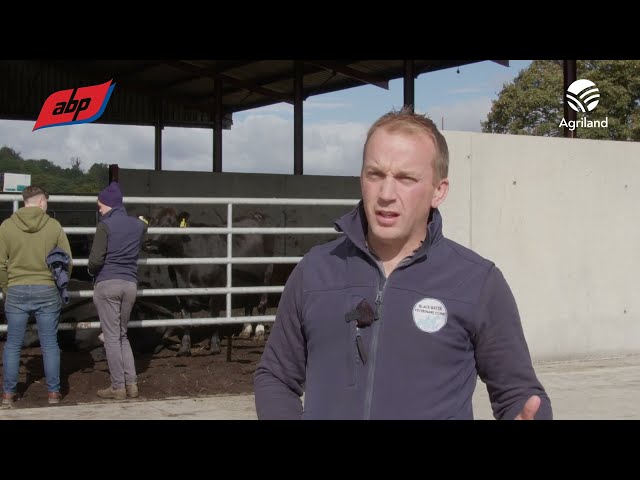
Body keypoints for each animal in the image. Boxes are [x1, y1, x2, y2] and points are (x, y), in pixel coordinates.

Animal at [141, 207, 274, 356]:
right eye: (150, 223)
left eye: (168, 224)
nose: (147, 243)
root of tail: (256, 215)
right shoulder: (180, 292)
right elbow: (185, 320)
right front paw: (184, 348)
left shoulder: (217, 289)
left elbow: (213, 318)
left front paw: (215, 346)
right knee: (248, 301)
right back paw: (246, 330)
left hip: (267, 272)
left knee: (262, 303)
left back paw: (259, 332)